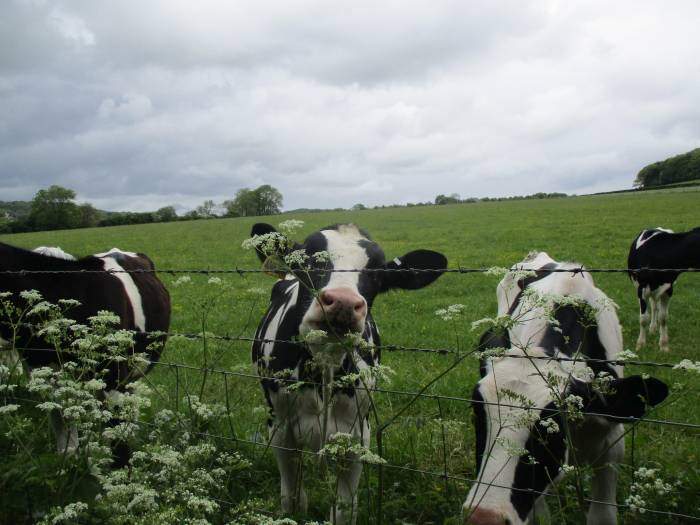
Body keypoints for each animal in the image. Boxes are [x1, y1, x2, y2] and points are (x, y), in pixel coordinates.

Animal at [250, 222, 448, 524]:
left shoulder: (356, 436)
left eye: (377, 272)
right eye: (308, 258)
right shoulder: (281, 428)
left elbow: (344, 509)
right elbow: (291, 499)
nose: (342, 303)